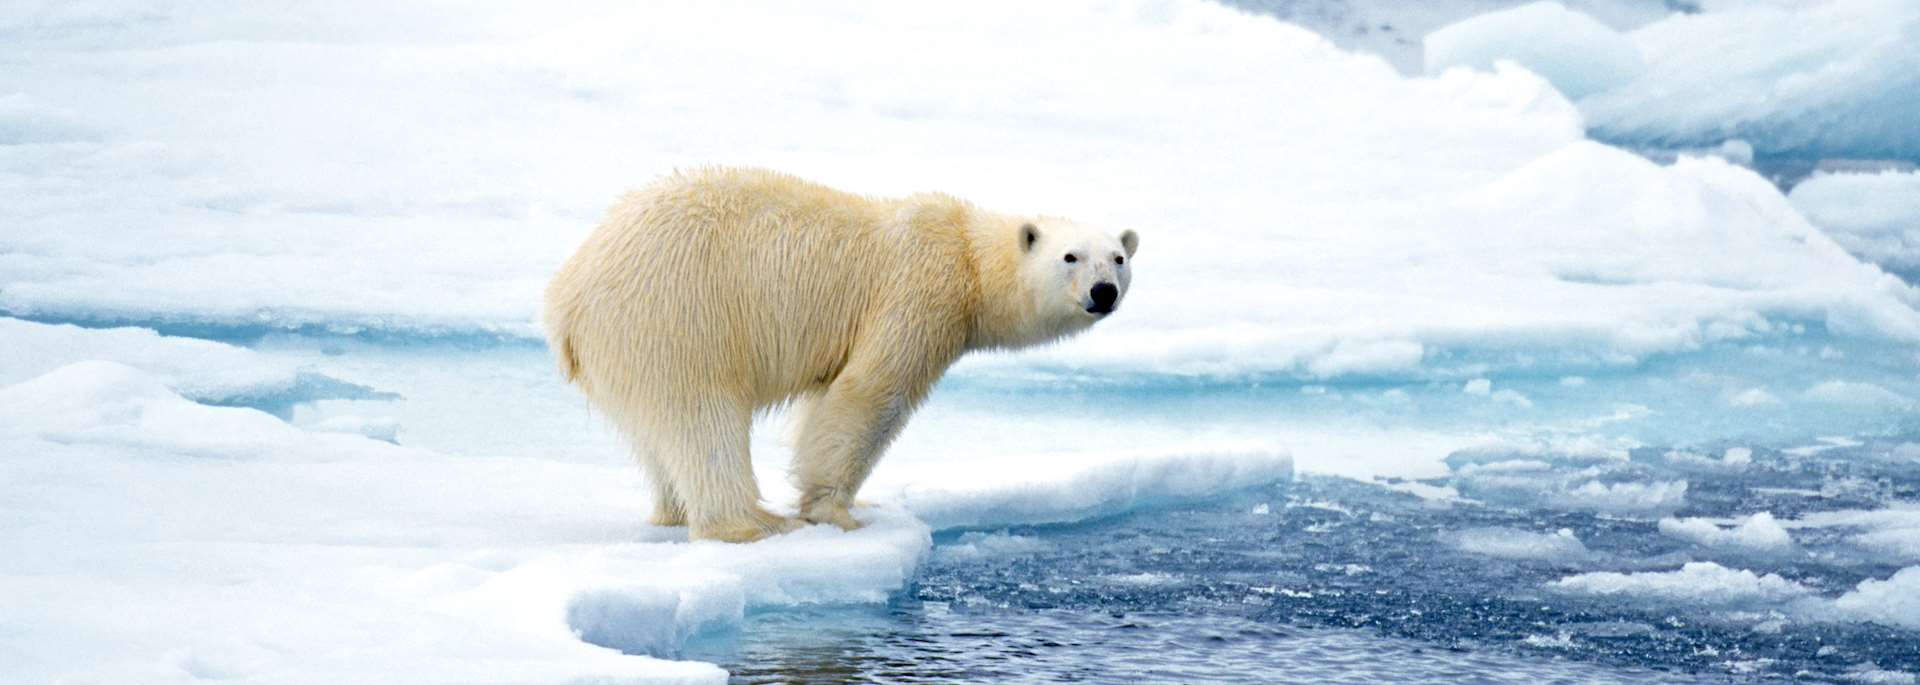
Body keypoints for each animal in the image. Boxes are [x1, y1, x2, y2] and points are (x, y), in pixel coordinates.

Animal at [544, 167, 1137, 542]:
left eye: (1118, 257)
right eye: (1070, 256)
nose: (1103, 292)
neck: (967, 257)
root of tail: (567, 297)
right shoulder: (916, 295)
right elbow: (869, 394)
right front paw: (837, 512)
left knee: (656, 434)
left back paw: (671, 512)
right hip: (677, 316)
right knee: (702, 418)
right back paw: (752, 523)